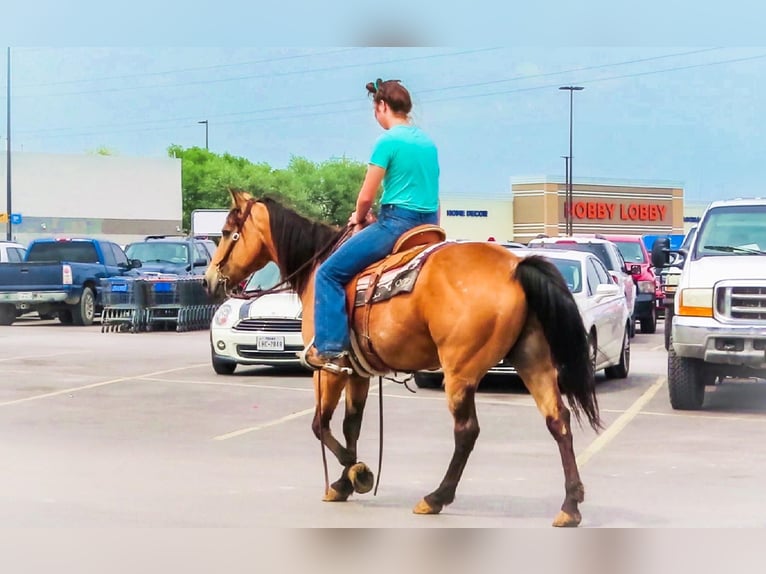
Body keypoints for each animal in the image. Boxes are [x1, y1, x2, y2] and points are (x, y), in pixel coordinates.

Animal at [207, 190, 604, 532]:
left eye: (226, 233)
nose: (210, 279)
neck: (317, 266)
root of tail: (515, 267)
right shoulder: (358, 372)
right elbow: (351, 426)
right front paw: (344, 482)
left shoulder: (329, 368)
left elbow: (320, 425)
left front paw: (358, 474)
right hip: (532, 359)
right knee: (558, 420)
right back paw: (570, 505)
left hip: (460, 371)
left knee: (467, 432)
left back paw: (436, 497)